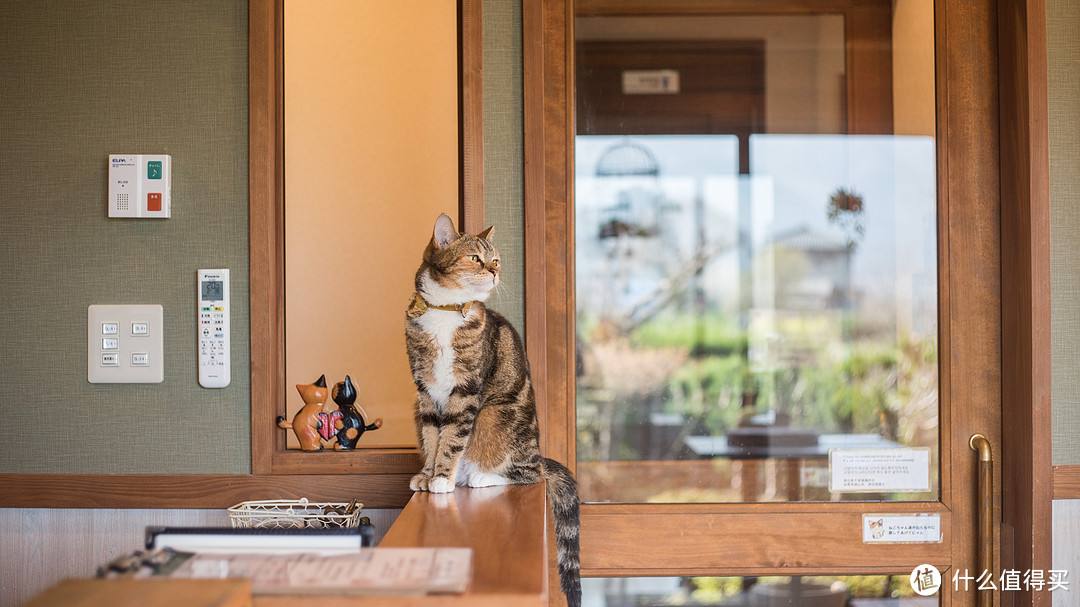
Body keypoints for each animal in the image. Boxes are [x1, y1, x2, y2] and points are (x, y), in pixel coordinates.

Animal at [403, 212, 578, 604]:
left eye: (495, 259)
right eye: (475, 258)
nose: (496, 271)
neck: (444, 312)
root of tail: (539, 452)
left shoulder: (466, 392)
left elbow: (452, 438)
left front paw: (440, 478)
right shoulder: (424, 392)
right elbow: (431, 436)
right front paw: (428, 474)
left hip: (494, 417)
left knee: (530, 473)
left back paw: (479, 477)